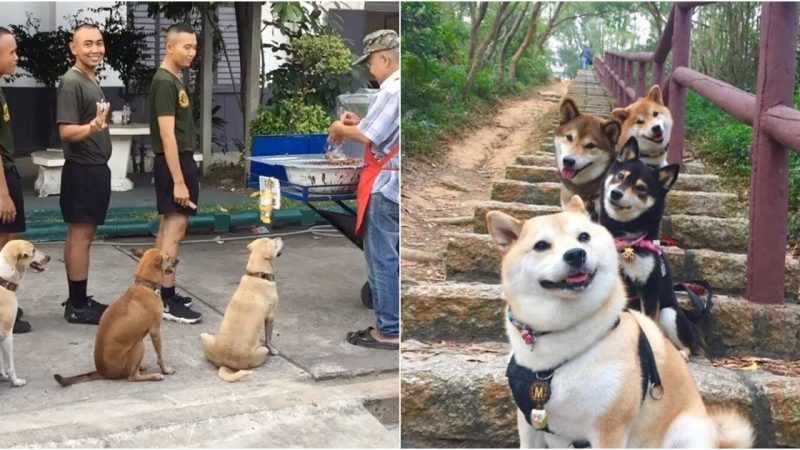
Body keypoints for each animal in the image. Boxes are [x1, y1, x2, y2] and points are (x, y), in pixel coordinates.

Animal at [0, 241, 50, 388]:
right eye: (33, 251)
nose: (49, 257)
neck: (3, 280)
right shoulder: (7, 334)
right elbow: (10, 365)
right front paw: (15, 381)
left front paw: (2, 376)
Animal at [56, 248, 180, 384]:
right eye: (167, 257)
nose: (178, 260)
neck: (144, 284)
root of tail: (102, 372)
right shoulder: (155, 331)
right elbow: (160, 355)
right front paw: (166, 369)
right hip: (139, 345)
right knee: (132, 377)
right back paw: (154, 376)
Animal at [202, 237, 282, 382]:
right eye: (274, 243)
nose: (279, 237)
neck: (257, 274)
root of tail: (226, 364)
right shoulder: (270, 317)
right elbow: (269, 338)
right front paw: (273, 349)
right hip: (262, 351)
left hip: (205, 337)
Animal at [596, 137, 704, 358]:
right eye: (620, 176)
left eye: (641, 188)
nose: (616, 193)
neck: (624, 240)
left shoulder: (650, 287)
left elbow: (649, 321)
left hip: (669, 313)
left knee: (688, 344)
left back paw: (681, 354)